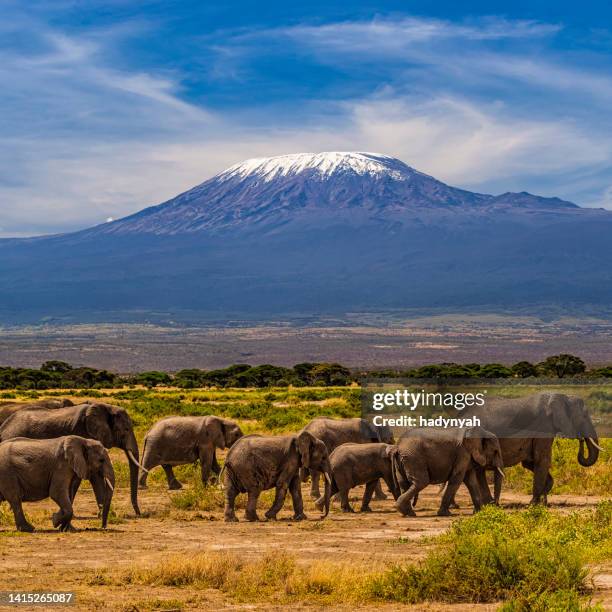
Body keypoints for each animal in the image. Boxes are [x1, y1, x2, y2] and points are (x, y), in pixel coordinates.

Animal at [0, 402, 143, 516]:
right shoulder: (82, 435)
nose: (138, 514)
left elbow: (95, 477)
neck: (106, 407)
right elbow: (82, 479)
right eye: (126, 429)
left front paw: (103, 515)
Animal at [464, 394, 604, 504]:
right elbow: (542, 459)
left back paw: (488, 504)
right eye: (584, 416)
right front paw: (534, 503)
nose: (581, 439)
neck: (563, 397)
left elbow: (530, 462)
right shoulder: (544, 425)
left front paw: (543, 500)